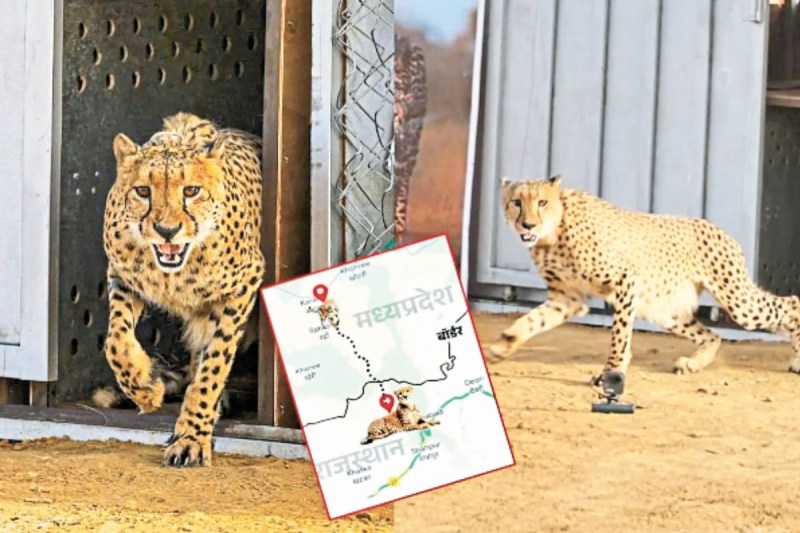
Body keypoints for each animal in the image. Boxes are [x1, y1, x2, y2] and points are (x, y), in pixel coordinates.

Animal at [101, 112, 264, 467]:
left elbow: (214, 366)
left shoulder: (244, 285)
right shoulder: (122, 277)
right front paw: (145, 388)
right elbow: (116, 341)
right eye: (142, 191)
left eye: (191, 190)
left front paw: (192, 436)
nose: (167, 230)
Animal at [487, 175, 800, 384]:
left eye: (542, 202)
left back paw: (796, 360)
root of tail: (716, 228)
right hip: (666, 311)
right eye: (516, 202)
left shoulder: (625, 283)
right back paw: (692, 364)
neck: (553, 233)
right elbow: (531, 321)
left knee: (791, 303)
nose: (527, 225)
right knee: (713, 335)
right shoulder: (567, 299)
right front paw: (503, 346)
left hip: (738, 303)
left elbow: (620, 335)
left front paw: (612, 371)